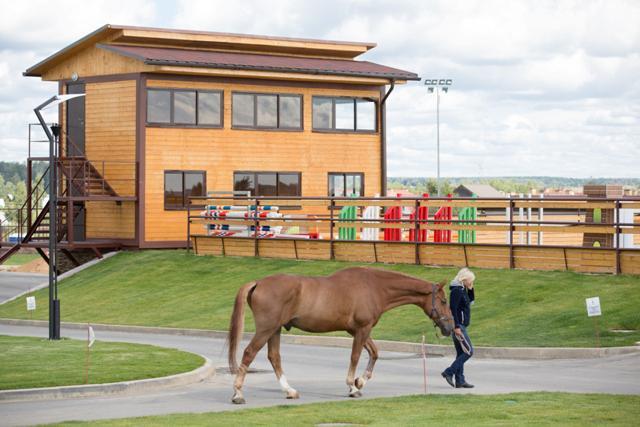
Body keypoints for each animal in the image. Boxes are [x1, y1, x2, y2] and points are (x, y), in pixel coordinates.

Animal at [228, 268, 452, 404]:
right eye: (443, 301)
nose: (450, 327)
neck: (373, 287)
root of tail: (258, 283)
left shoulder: (358, 330)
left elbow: (374, 353)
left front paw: (360, 382)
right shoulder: (362, 329)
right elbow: (355, 356)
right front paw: (352, 386)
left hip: (275, 330)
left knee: (274, 357)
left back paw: (289, 391)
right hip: (266, 329)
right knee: (249, 353)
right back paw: (238, 393)